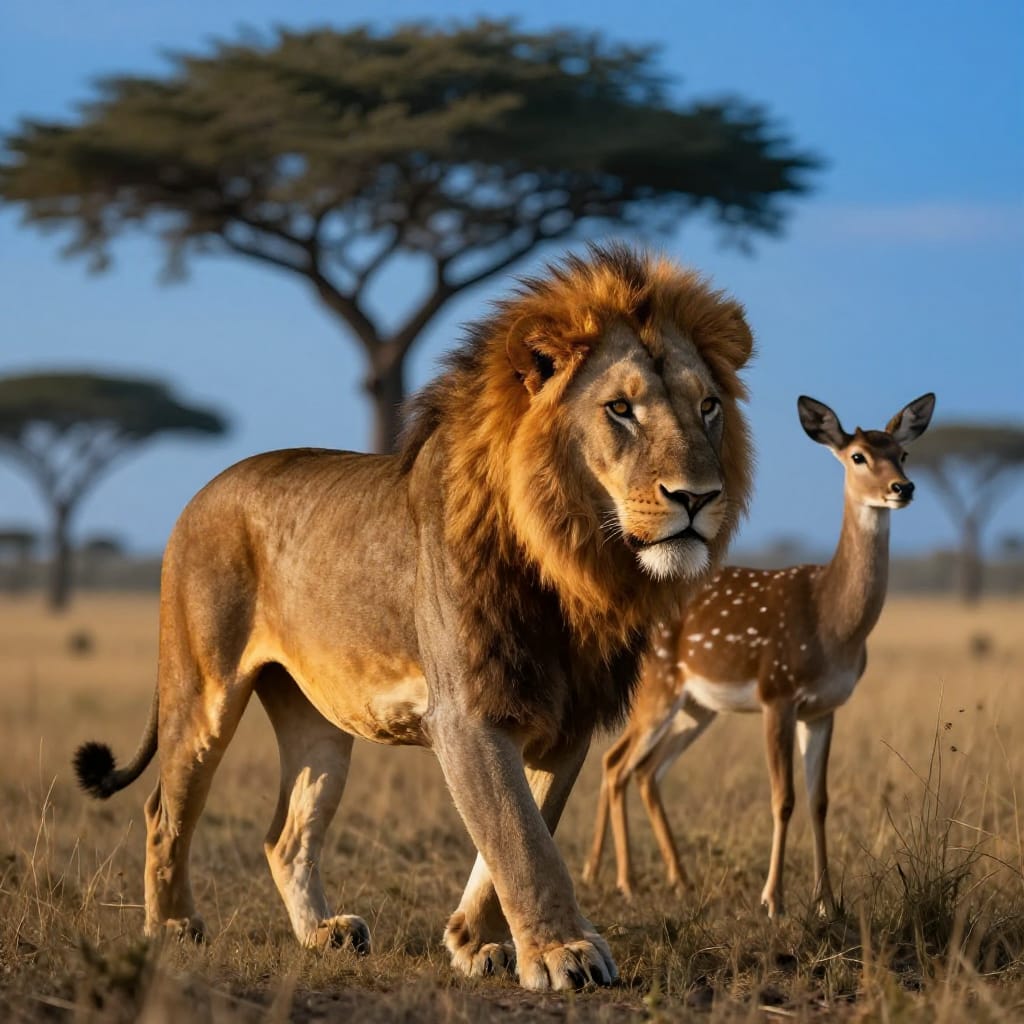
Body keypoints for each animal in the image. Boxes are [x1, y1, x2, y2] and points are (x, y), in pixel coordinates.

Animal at [73, 243, 754, 991]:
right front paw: (563, 952)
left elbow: (523, 829)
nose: (699, 497)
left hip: (317, 721)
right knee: (164, 810)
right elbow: (520, 837)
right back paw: (173, 926)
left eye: (708, 405)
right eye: (620, 409)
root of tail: (202, 491)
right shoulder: (467, 710)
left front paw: (475, 941)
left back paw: (324, 934)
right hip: (203, 690)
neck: (574, 568)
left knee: (285, 833)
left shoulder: (567, 715)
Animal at [582, 392, 936, 917]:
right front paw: (773, 899)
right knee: (615, 763)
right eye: (858, 456)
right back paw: (621, 879)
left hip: (698, 707)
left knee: (644, 771)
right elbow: (782, 797)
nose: (902, 487)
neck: (832, 622)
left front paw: (828, 902)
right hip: (657, 690)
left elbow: (819, 800)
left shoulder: (824, 708)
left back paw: (669, 878)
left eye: (904, 452)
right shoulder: (777, 693)